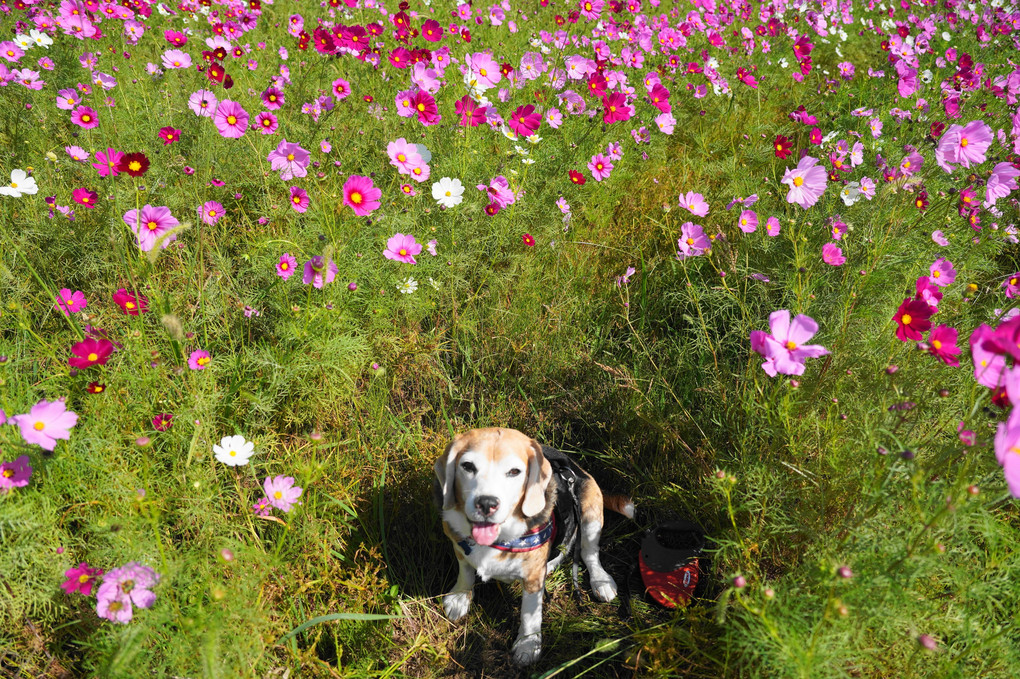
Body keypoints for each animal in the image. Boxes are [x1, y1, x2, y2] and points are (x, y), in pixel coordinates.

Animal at [434, 426, 632, 664]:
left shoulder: (533, 577)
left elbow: (530, 613)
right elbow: (465, 571)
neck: (500, 537)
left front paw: (527, 645)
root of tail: (578, 469)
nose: (486, 503)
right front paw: (460, 597)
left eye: (514, 472)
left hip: (590, 514)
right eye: (468, 466)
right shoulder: (459, 544)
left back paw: (601, 581)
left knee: (589, 552)